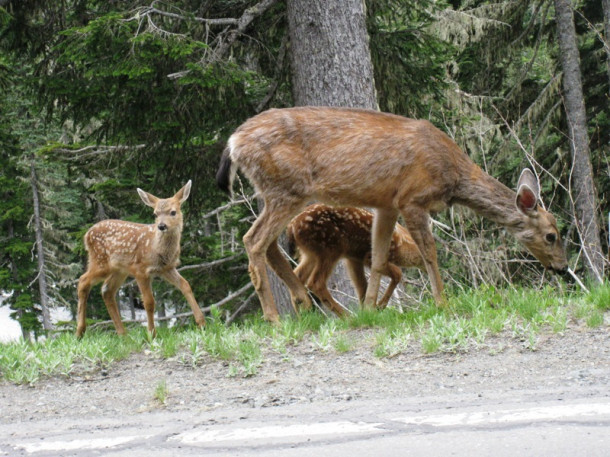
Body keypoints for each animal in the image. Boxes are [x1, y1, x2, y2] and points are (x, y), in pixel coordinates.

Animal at [75, 180, 204, 336]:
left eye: (173, 212)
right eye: (155, 214)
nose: (161, 226)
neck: (156, 249)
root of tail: (86, 235)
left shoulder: (166, 268)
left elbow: (186, 285)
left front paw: (202, 323)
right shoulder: (140, 269)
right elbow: (149, 302)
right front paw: (151, 333)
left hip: (120, 270)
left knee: (107, 290)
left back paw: (123, 334)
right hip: (100, 261)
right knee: (83, 281)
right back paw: (80, 331)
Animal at [286, 204, 422, 314]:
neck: (401, 245)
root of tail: (291, 227)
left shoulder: (354, 258)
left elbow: (362, 286)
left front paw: (368, 311)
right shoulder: (369, 256)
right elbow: (397, 273)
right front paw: (379, 307)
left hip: (311, 254)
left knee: (297, 276)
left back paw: (302, 314)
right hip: (331, 247)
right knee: (315, 283)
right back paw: (346, 317)